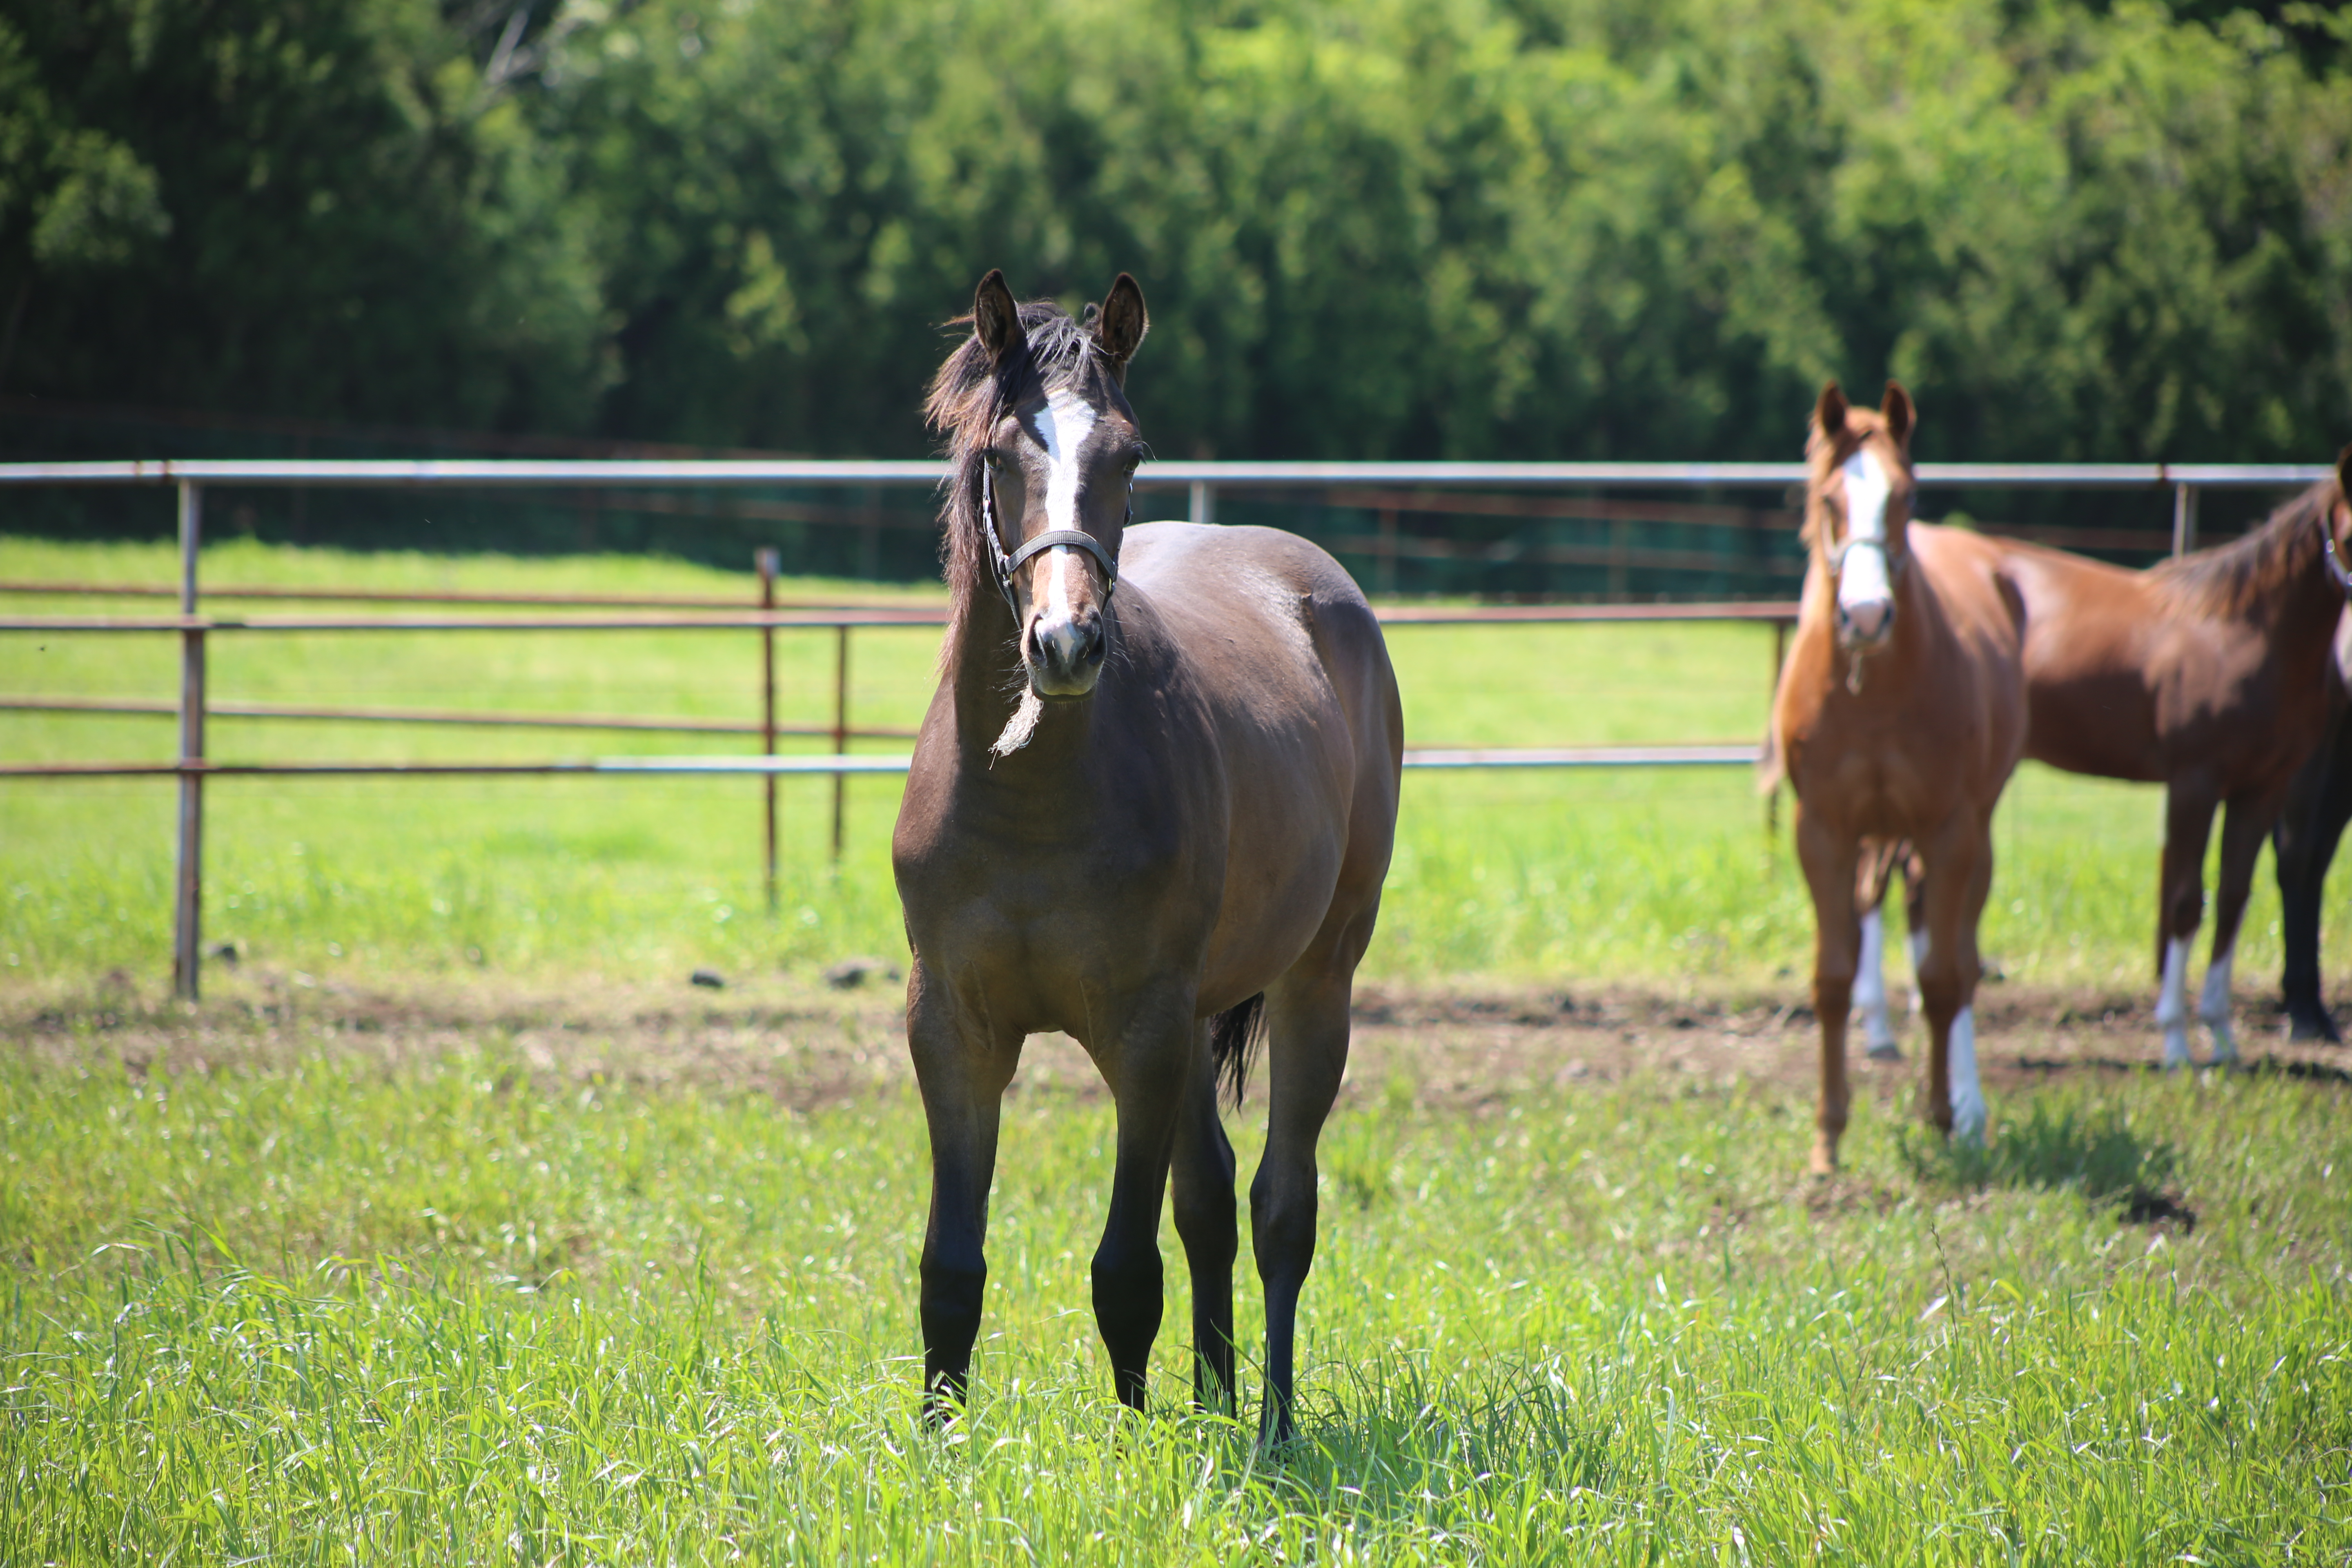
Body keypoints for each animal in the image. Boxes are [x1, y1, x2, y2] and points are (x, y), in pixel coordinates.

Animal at [884, 270, 1392, 1448]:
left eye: (1128, 453)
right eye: (1002, 452)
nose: (1065, 645)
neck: (1029, 802)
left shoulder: (1145, 1034)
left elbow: (1126, 1269)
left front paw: (1132, 1445)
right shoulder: (953, 1032)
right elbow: (951, 1267)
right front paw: (940, 1448)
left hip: (1317, 978)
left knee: (1278, 1207)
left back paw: (1272, 1425)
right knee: (1209, 1202)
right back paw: (1216, 1400)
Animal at [1985, 446, 2352, 1072]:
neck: (2242, 634)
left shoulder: (2261, 790)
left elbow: (2232, 901)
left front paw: (2223, 1037)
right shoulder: (2194, 783)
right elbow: (2184, 903)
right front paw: (2177, 1041)